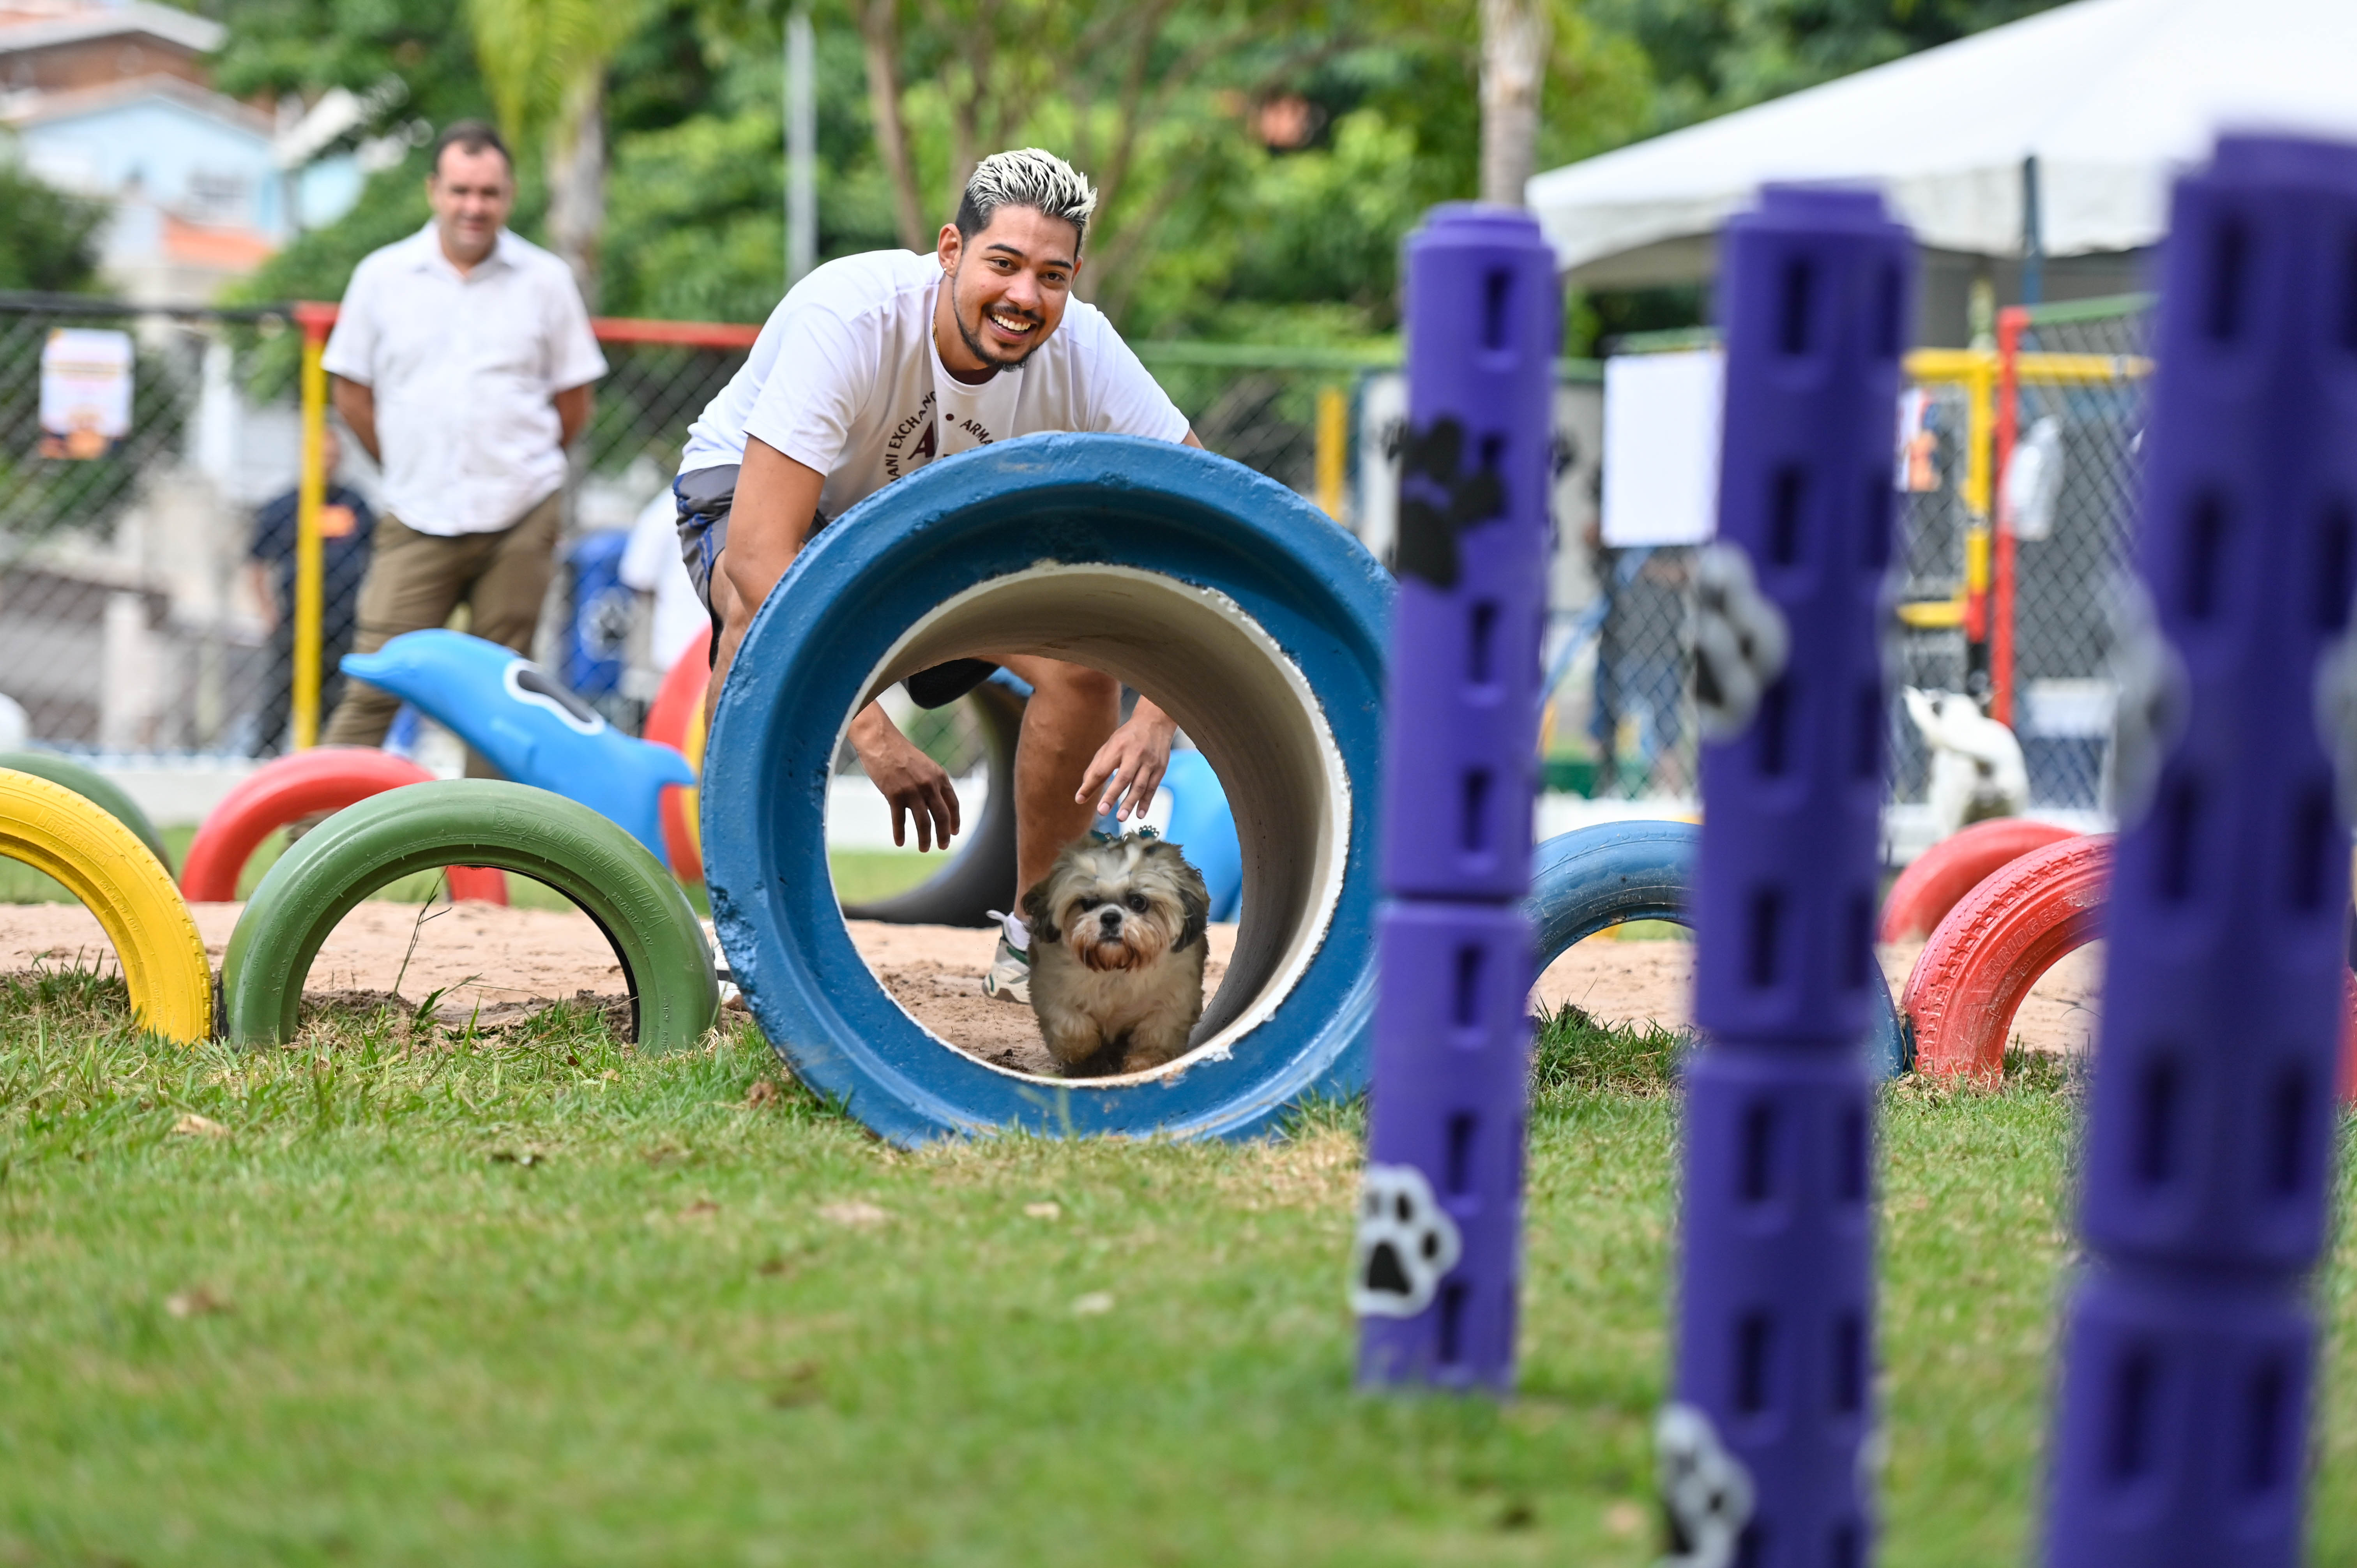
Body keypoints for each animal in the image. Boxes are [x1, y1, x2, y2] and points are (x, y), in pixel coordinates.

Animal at [1023, 830, 1216, 1075]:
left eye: (1138, 902)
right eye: (1087, 903)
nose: (1110, 917)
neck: (1115, 968)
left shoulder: (1173, 1002)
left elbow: (1156, 1035)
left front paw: (1145, 1063)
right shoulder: (1051, 989)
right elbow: (1072, 1025)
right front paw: (1081, 1053)